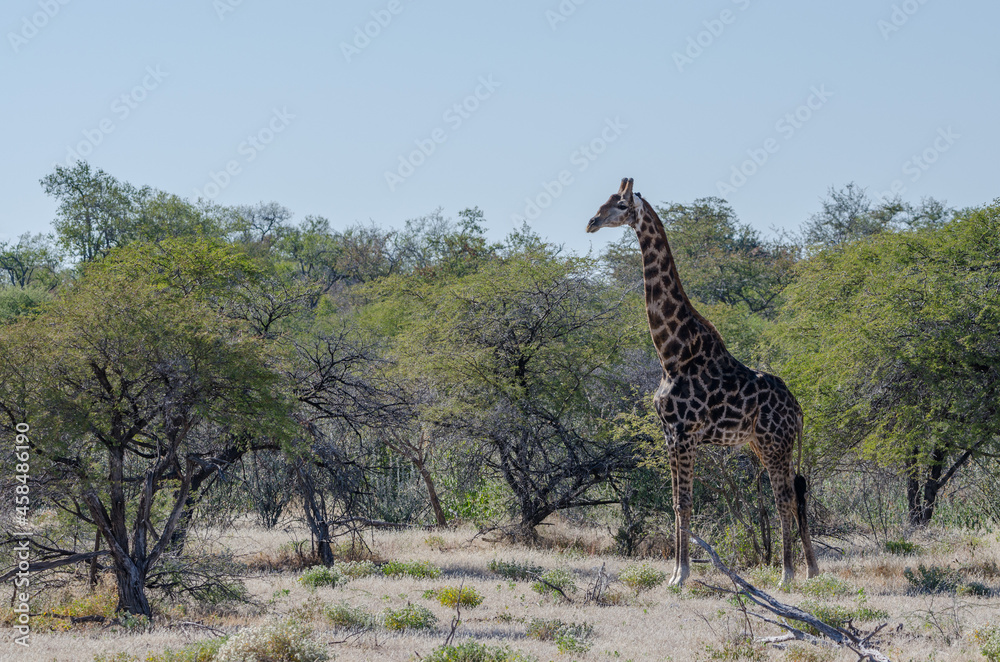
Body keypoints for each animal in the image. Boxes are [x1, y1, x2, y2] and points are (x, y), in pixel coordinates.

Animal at [587, 178, 819, 586]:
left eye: (620, 205)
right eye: (604, 201)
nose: (591, 222)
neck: (672, 354)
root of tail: (799, 409)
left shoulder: (685, 434)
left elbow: (685, 501)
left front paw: (682, 574)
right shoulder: (669, 433)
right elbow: (677, 502)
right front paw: (673, 575)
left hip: (774, 443)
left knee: (784, 497)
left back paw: (787, 574)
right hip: (765, 445)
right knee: (797, 492)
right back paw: (811, 569)